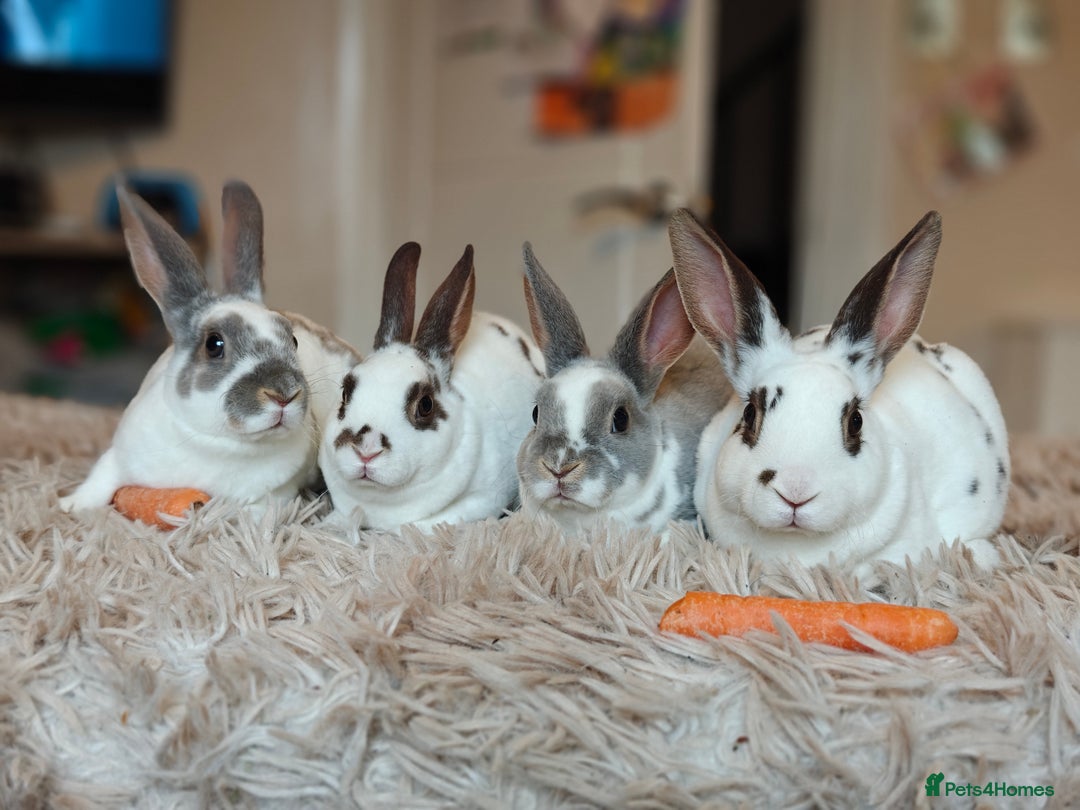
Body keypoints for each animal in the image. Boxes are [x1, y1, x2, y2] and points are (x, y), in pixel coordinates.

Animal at [60, 181, 360, 512]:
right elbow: (100, 479)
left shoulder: (278, 492)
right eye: (214, 344)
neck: (219, 442)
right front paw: (70, 505)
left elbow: (260, 512)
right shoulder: (119, 455)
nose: (283, 394)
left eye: (292, 340)